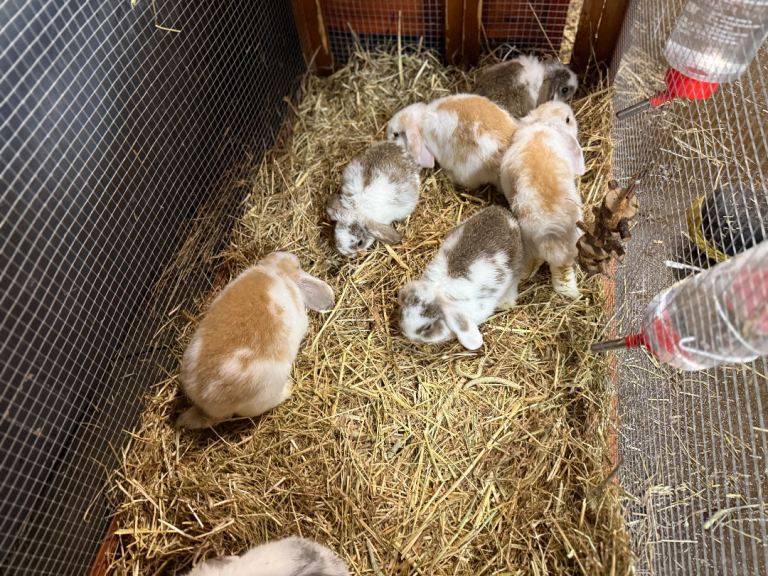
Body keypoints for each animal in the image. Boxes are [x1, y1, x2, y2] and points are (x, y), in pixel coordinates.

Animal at [398, 205, 526, 350]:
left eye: (427, 327)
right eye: (403, 313)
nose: (407, 335)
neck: (439, 291)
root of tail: (504, 213)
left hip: (516, 266)